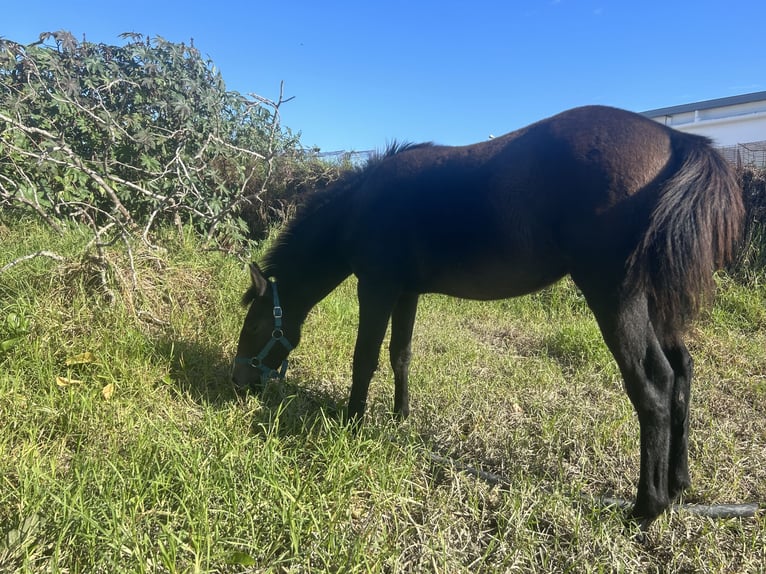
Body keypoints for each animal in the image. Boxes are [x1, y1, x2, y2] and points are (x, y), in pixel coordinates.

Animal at [232, 104, 744, 532]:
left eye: (255, 326)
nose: (238, 382)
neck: (361, 206)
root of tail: (676, 140)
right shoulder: (406, 292)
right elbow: (401, 354)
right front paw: (399, 419)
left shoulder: (376, 287)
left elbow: (365, 358)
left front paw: (352, 422)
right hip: (656, 304)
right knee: (682, 373)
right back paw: (677, 484)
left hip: (617, 299)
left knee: (653, 386)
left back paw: (646, 507)